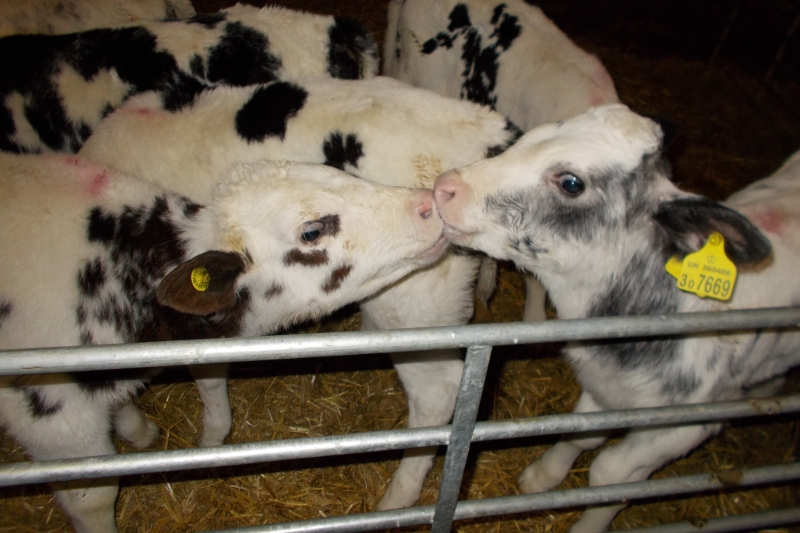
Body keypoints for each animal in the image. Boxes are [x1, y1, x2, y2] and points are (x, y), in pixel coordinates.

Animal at [438, 104, 800, 532]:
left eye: (571, 183)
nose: (445, 187)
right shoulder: (603, 385)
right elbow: (581, 435)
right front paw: (543, 477)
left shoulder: (685, 426)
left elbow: (611, 475)